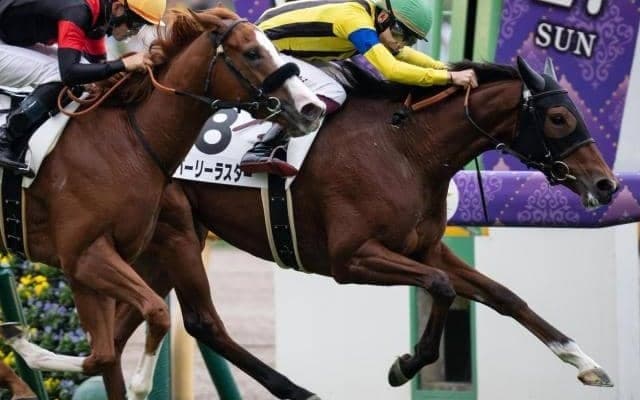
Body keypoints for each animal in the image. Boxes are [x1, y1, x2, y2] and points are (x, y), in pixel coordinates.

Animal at [0, 6, 324, 400]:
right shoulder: (86, 255)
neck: (126, 140)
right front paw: (140, 384)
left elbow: (103, 353)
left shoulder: (90, 263)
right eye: (252, 53)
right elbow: (154, 314)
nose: (311, 108)